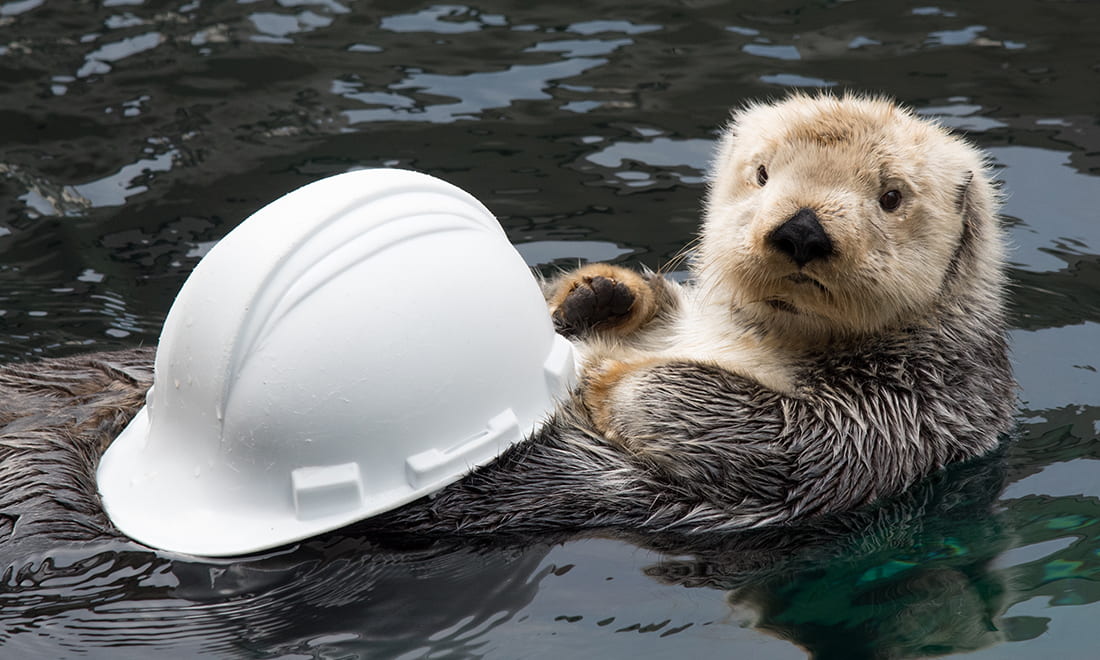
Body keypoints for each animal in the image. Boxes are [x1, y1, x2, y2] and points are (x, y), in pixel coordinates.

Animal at [0, 90, 1012, 550]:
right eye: (762, 174)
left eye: (890, 195)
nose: (799, 228)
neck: (751, 338)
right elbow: (625, 315)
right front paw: (595, 295)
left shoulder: (909, 410)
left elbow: (787, 435)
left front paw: (630, 389)